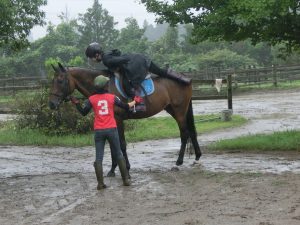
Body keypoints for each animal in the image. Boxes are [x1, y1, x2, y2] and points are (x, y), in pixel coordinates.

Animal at [48, 62, 202, 176]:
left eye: (60, 81)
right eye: (53, 81)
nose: (52, 104)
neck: (104, 86)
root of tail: (186, 79)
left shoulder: (118, 119)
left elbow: (120, 144)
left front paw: (124, 167)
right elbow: (113, 145)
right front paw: (113, 169)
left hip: (179, 111)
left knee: (185, 134)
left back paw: (179, 161)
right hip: (174, 110)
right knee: (191, 132)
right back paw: (197, 157)